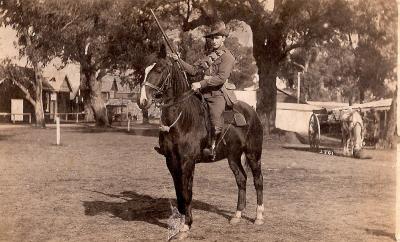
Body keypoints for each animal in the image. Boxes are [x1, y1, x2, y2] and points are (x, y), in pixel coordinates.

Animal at [139, 46, 264, 238]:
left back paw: (259, 217)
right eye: (145, 70)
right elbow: (179, 192)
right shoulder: (171, 161)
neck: (183, 118)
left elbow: (187, 192)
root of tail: (252, 111)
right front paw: (182, 222)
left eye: (158, 70)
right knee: (241, 179)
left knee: (258, 180)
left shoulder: (187, 162)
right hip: (233, 157)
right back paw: (237, 215)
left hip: (253, 154)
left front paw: (186, 226)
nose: (142, 102)